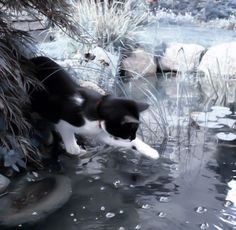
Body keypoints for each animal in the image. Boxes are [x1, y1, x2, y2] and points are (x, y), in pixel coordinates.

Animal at [28, 56, 159, 159]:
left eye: (134, 132)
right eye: (130, 132)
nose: (133, 137)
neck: (97, 114)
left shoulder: (101, 132)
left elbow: (114, 141)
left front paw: (151, 152)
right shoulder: (62, 119)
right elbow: (66, 131)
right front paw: (73, 147)